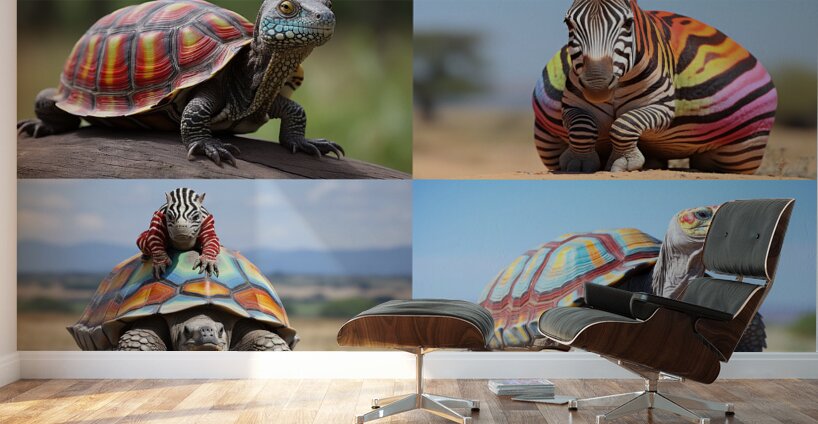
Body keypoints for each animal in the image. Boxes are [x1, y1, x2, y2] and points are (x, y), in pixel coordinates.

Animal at [533, 0, 777, 174]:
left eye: (627, 23)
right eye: (568, 23)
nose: (597, 87)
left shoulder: (662, 107)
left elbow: (624, 124)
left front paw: (624, 162)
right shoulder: (573, 107)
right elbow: (582, 127)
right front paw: (579, 162)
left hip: (739, 151)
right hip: (547, 141)